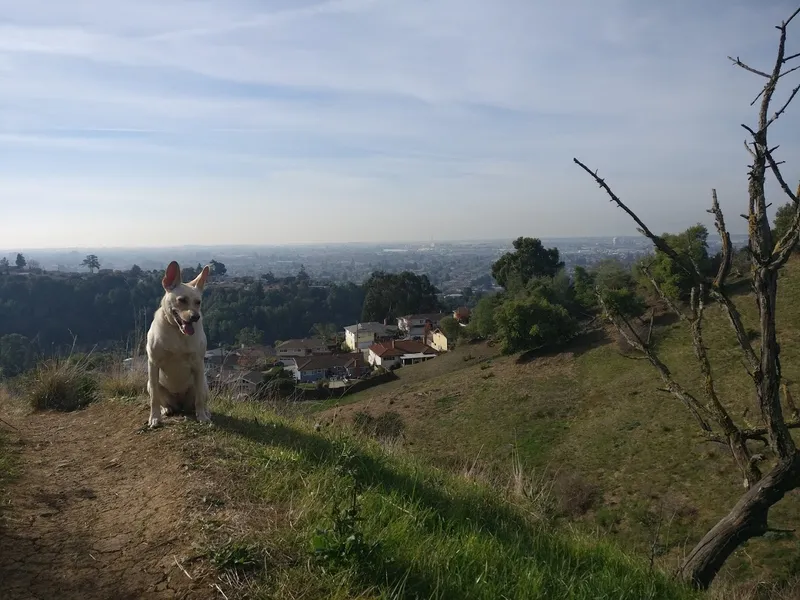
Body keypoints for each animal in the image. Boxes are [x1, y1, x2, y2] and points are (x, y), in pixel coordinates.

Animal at [145, 262, 211, 426]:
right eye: (182, 300)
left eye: (198, 302)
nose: (195, 317)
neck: (178, 331)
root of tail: (180, 406)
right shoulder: (153, 363)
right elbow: (154, 397)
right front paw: (154, 418)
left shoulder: (198, 364)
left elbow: (199, 398)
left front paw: (202, 416)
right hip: (150, 383)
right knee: (161, 399)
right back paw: (165, 410)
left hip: (204, 384)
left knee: (200, 398)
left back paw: (205, 412)